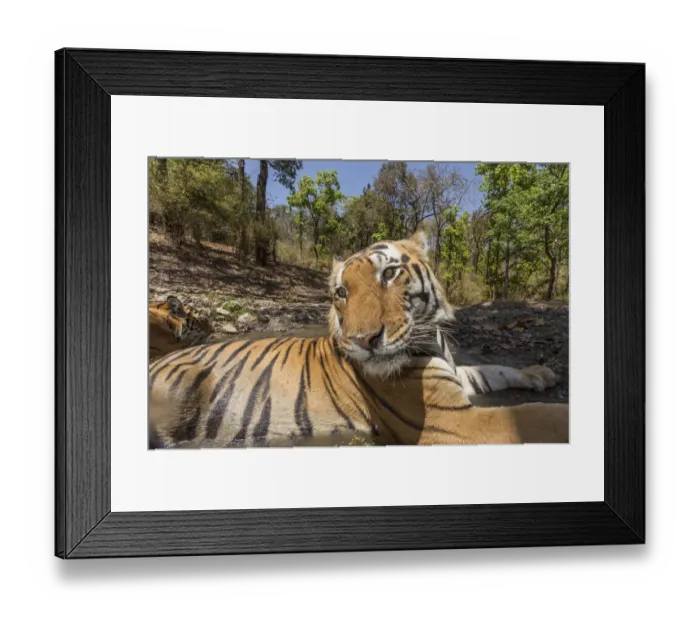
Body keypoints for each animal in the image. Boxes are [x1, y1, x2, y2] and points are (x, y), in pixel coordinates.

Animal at [148, 232, 568, 449]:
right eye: (341, 292)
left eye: (390, 273)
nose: (364, 339)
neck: (433, 340)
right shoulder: (453, 423)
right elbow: (535, 415)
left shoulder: (455, 375)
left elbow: (492, 369)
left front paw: (539, 373)